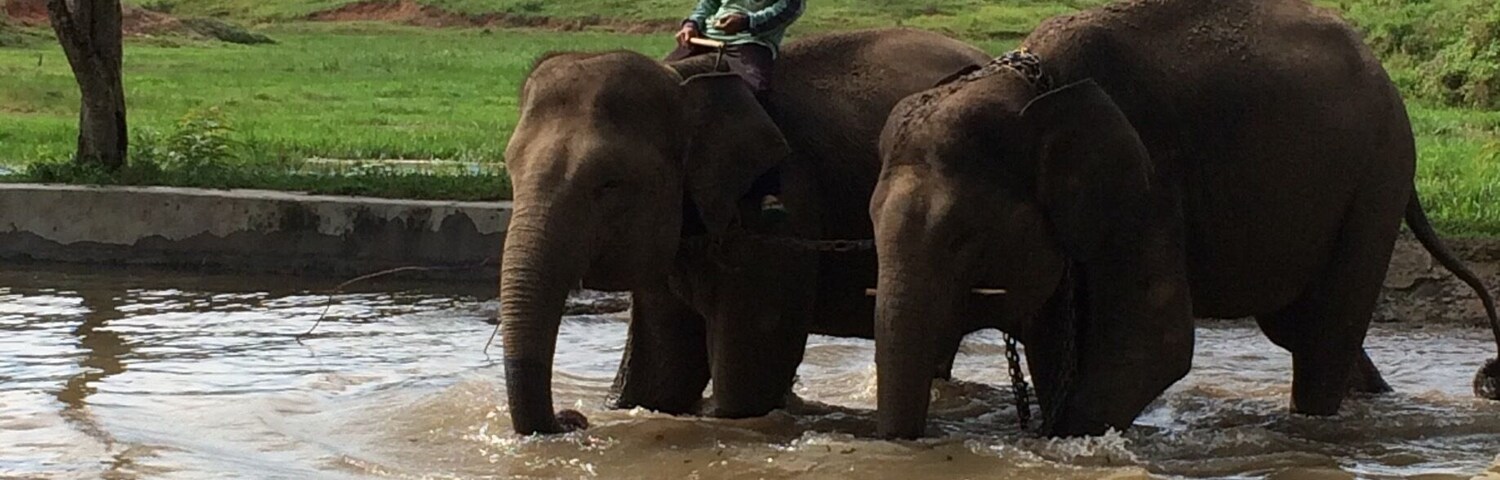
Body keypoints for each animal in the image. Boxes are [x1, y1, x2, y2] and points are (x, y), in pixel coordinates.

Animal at [499, 28, 991, 435]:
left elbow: (748, 381)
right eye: (510, 169)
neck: (684, 79)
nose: (572, 418)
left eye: (609, 182)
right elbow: (662, 373)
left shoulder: (780, 217)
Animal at [869, 0, 1500, 439]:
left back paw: (1312, 429)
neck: (1026, 83)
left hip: (1376, 182)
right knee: (1299, 328)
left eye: (962, 238)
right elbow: (1057, 340)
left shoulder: (1149, 179)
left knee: (1323, 334)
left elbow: (1156, 343)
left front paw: (1059, 441)